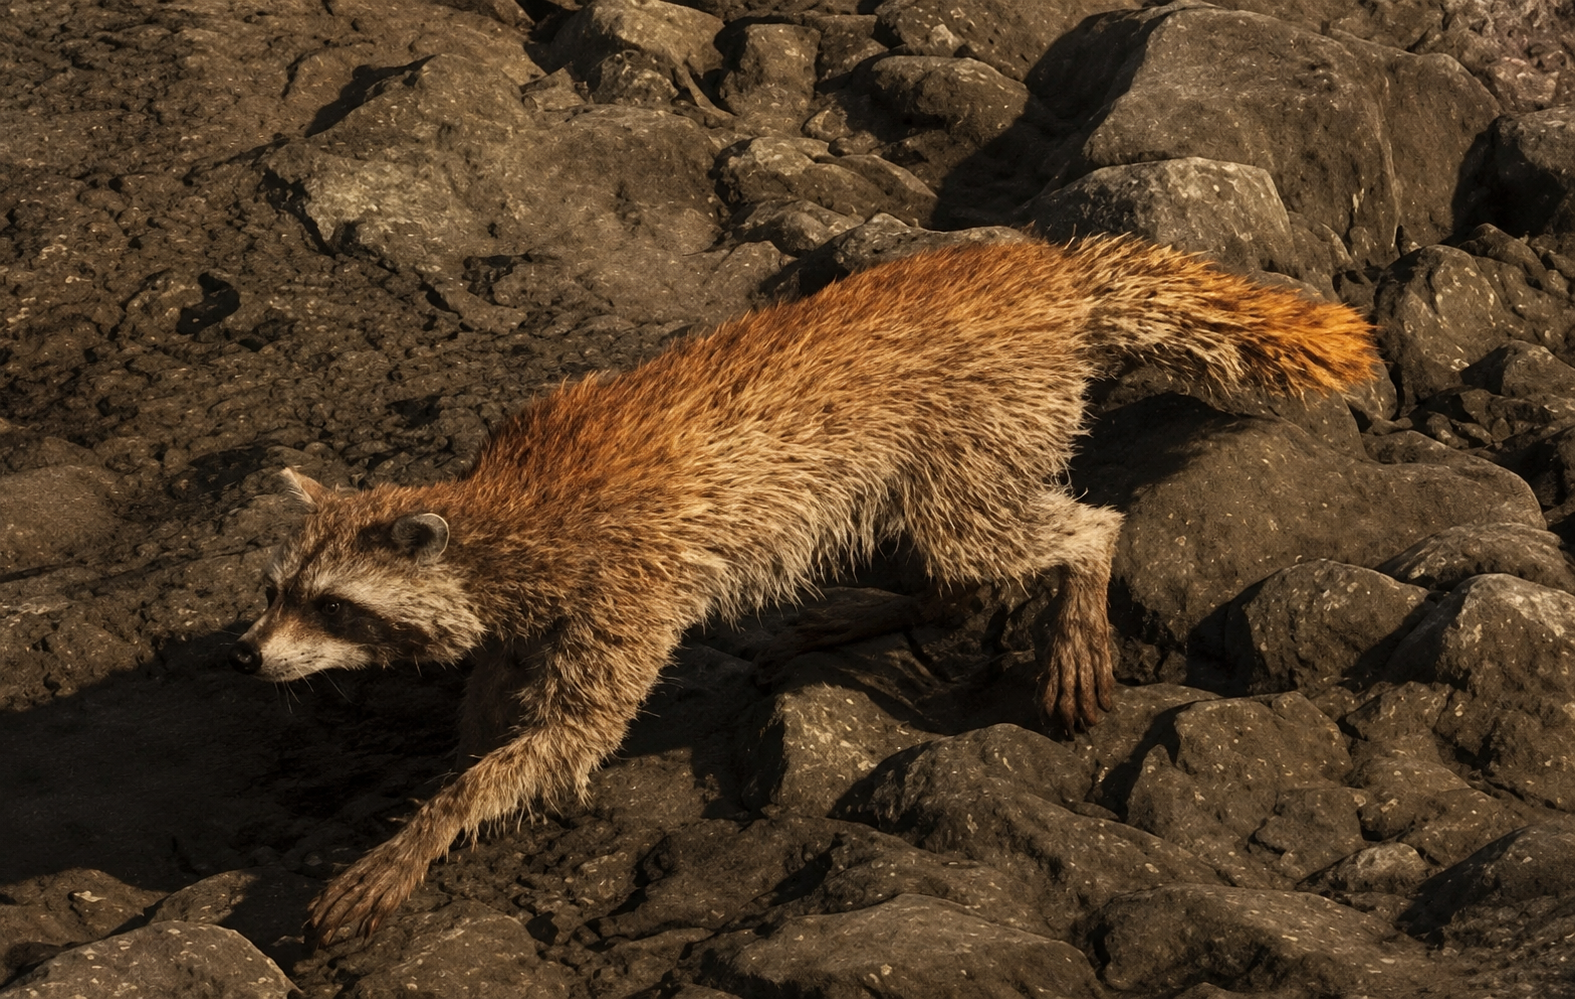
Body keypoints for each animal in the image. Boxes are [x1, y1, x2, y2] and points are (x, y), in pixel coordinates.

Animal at [230, 236, 1378, 944]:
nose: (246, 656)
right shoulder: (539, 603)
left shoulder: (625, 582)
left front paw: (425, 828)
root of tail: (1050, 277)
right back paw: (906, 605)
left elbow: (569, 732)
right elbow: (500, 694)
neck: (500, 510)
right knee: (947, 558)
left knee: (1004, 533)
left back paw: (1076, 576)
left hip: (979, 416)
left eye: (331, 606)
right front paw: (461, 754)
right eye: (279, 589)